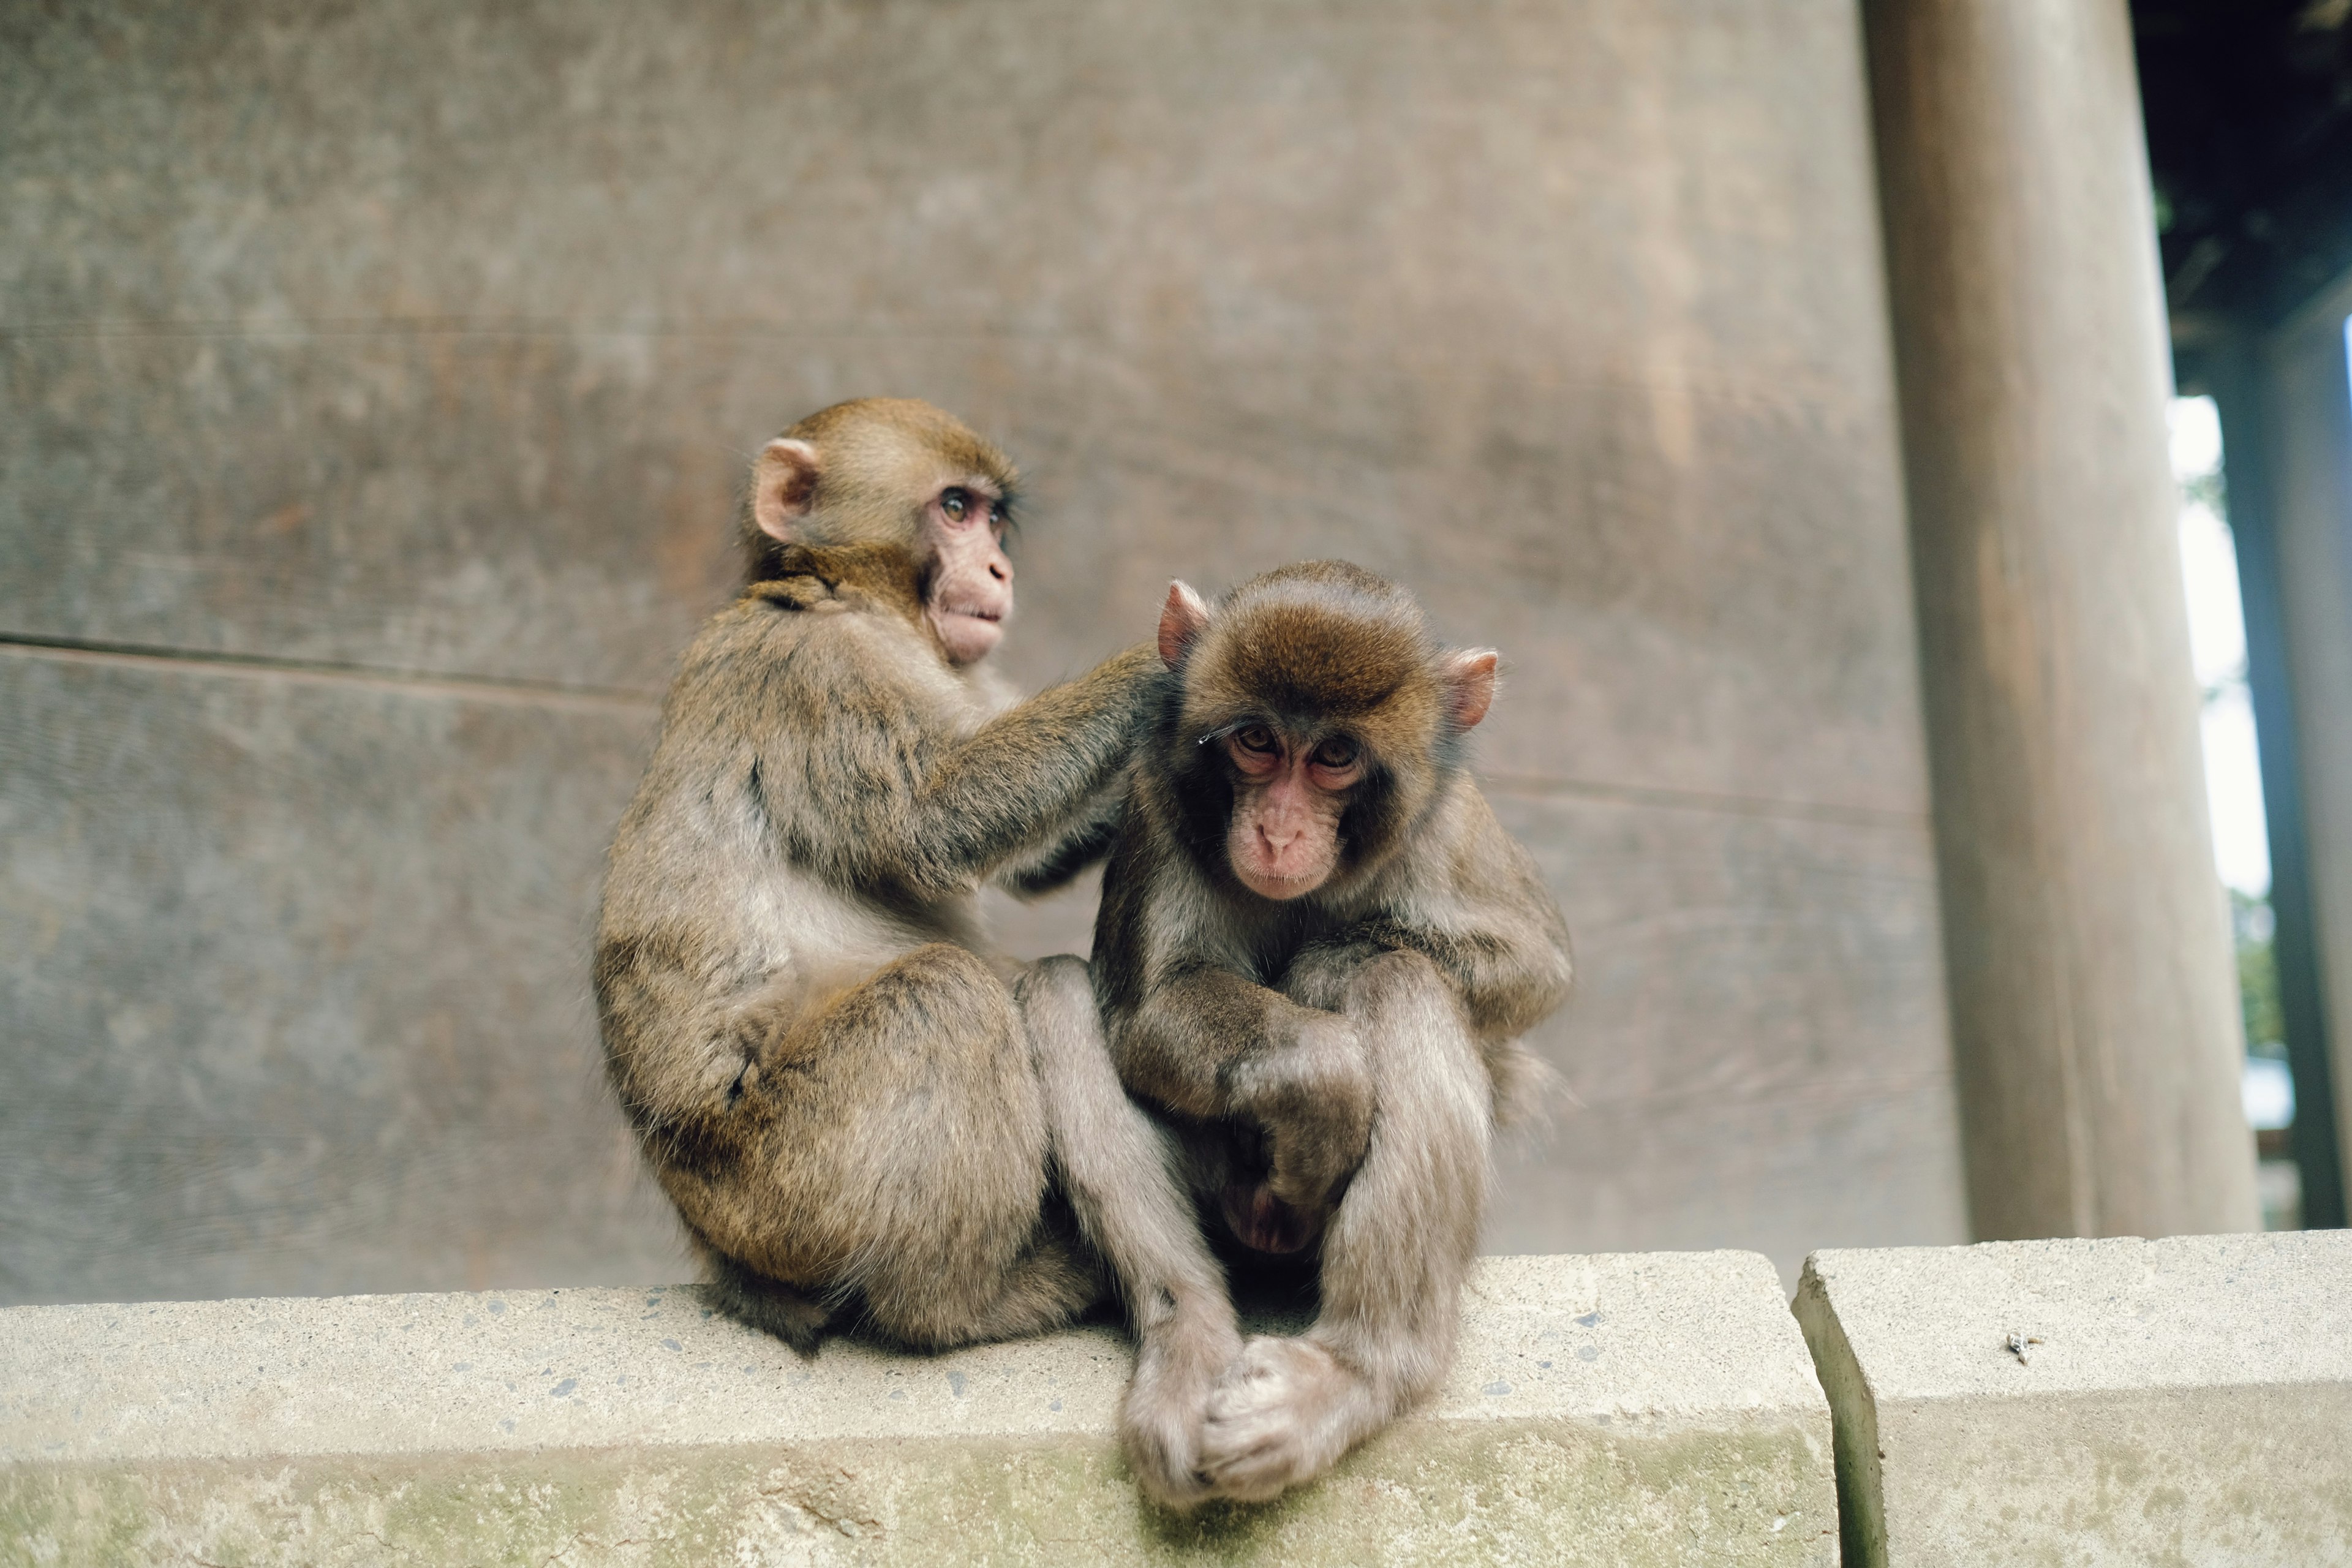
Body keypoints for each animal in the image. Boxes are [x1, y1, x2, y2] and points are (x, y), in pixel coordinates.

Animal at [588, 402, 1242, 1504]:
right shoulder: (811, 670)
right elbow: (931, 817)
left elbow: (1025, 860)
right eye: (955, 509)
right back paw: (970, 1305)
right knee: (948, 995)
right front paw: (1181, 656)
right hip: (791, 1177)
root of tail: (719, 1242)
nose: (1000, 570)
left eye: (994, 517)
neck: (854, 593)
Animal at [1091, 564, 1571, 1504]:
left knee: (1404, 983)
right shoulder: (1158, 803)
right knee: (1055, 990)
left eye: (1335, 758)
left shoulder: (1447, 819)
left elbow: (1537, 970)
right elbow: (1153, 1011)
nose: (1278, 830)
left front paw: (1320, 970)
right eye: (1256, 742)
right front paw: (1324, 1085)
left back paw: (1360, 1371)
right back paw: (1188, 1348)